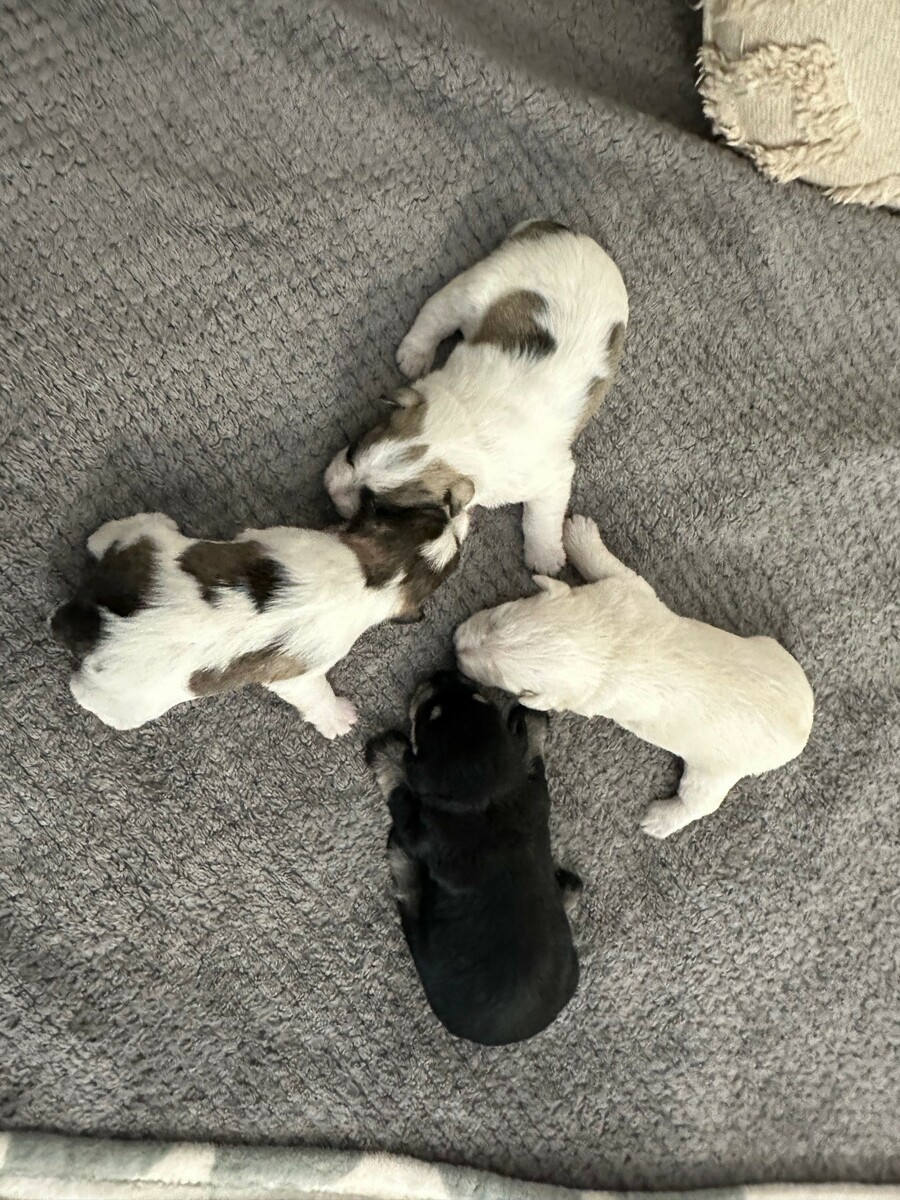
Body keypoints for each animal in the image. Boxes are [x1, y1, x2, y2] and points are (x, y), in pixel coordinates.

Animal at [50, 487, 468, 734]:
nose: (456, 514)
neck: (376, 576)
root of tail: (94, 622)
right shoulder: (303, 675)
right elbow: (316, 695)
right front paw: (337, 716)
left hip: (142, 544)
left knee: (124, 534)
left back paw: (107, 532)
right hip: (126, 703)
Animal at [325, 219, 628, 576]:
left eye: (380, 508)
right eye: (352, 450)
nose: (328, 490)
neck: (461, 425)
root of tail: (563, 230)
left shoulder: (552, 475)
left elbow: (542, 516)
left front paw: (545, 556)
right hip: (477, 286)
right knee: (436, 311)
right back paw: (415, 353)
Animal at [365, 670, 580, 1046]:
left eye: (430, 715)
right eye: (478, 696)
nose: (441, 673)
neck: (487, 799)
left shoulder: (420, 829)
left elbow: (401, 792)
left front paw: (389, 756)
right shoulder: (532, 792)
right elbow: (532, 760)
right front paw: (533, 725)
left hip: (423, 938)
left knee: (409, 894)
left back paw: (399, 862)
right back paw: (567, 893)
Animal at [455, 516, 815, 838]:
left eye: (505, 682)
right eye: (497, 618)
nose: (456, 648)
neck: (603, 642)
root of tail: (803, 729)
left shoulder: (592, 689)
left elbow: (614, 569)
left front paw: (578, 534)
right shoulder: (624, 596)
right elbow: (612, 571)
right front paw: (578, 534)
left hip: (717, 769)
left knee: (700, 801)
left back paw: (660, 820)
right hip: (772, 651)